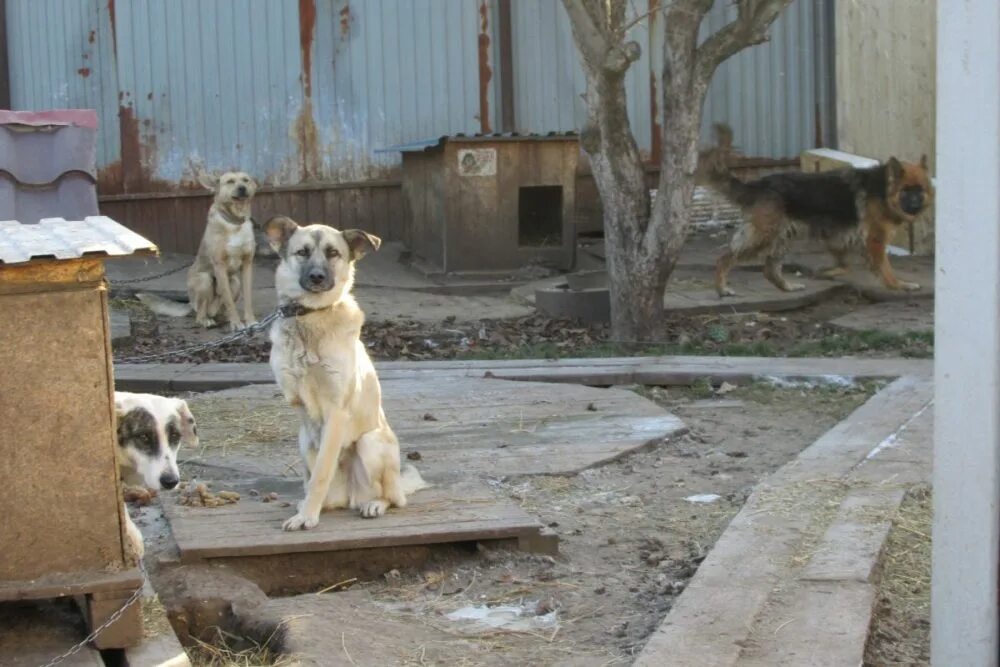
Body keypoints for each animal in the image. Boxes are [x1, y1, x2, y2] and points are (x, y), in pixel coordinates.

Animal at [262, 215, 426, 532]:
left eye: (333, 253)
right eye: (302, 252)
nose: (316, 277)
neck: (310, 318)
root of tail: (352, 495)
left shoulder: (336, 411)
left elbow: (321, 473)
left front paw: (307, 517)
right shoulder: (299, 404)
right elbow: (313, 474)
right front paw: (307, 509)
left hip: (369, 442)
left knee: (392, 498)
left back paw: (374, 504)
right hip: (304, 440)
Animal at [700, 125, 932, 298]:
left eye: (919, 190)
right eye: (906, 191)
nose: (915, 205)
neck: (883, 190)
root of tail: (760, 184)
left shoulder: (839, 237)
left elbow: (844, 264)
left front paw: (829, 272)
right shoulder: (873, 240)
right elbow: (885, 268)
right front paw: (900, 285)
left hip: (783, 235)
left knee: (769, 269)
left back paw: (787, 287)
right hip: (763, 236)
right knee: (725, 259)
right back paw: (722, 289)